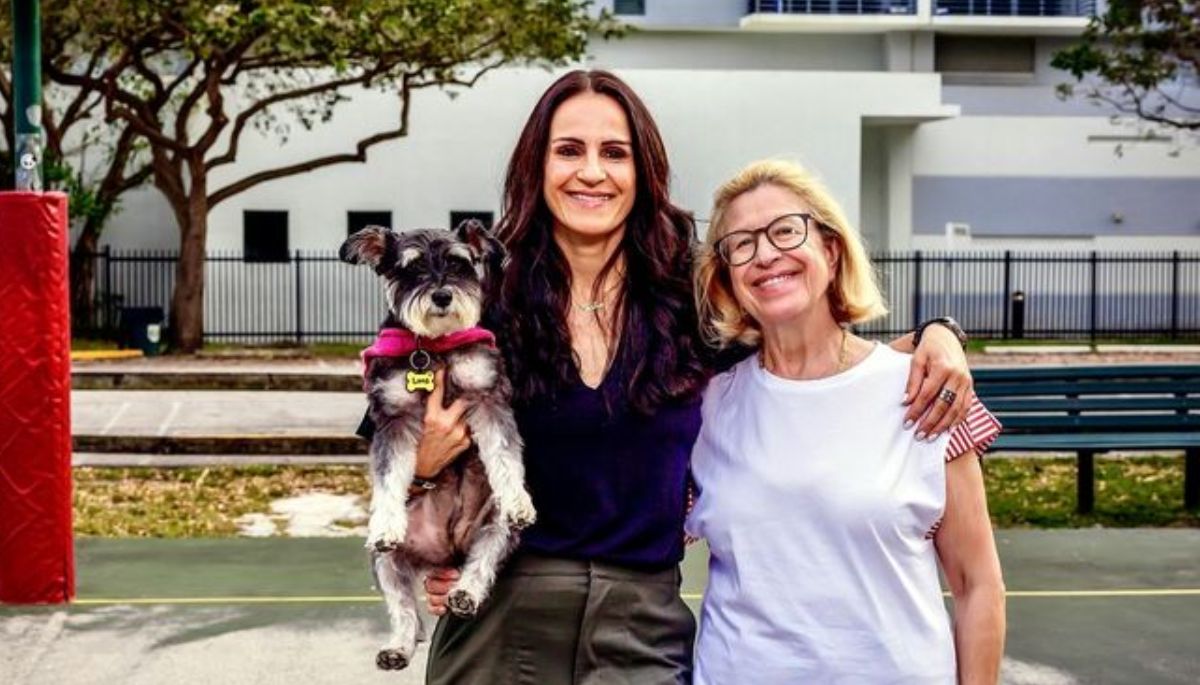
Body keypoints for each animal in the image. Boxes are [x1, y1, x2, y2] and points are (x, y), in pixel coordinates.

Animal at [343, 221, 540, 671]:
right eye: (412, 268)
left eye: (458, 263)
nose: (442, 295)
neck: (432, 349)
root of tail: (445, 555)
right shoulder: (392, 418)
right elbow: (389, 477)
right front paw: (386, 521)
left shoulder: (488, 397)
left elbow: (504, 455)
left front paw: (519, 499)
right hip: (385, 562)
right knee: (407, 614)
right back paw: (397, 647)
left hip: (493, 528)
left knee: (482, 561)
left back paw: (465, 593)